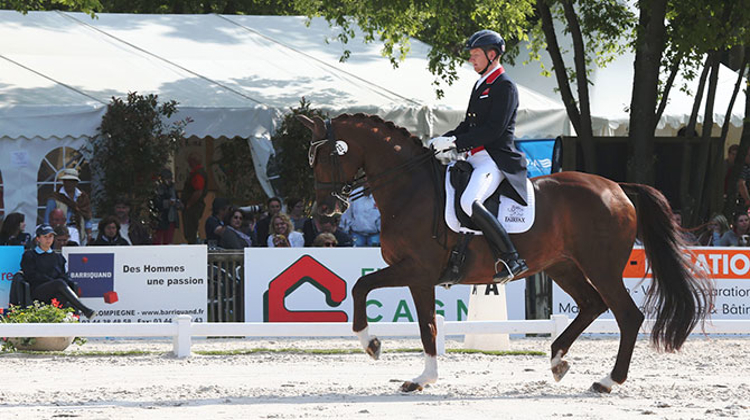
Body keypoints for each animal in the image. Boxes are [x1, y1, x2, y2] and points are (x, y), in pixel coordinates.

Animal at [298, 112, 712, 394]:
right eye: (310, 160)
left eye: (328, 156)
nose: (324, 212)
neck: (409, 188)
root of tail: (618, 188)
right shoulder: (419, 275)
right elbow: (418, 319)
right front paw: (420, 375)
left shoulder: (416, 270)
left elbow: (369, 291)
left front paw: (377, 348)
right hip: (563, 265)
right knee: (592, 304)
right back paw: (558, 358)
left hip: (602, 266)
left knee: (627, 315)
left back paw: (608, 381)